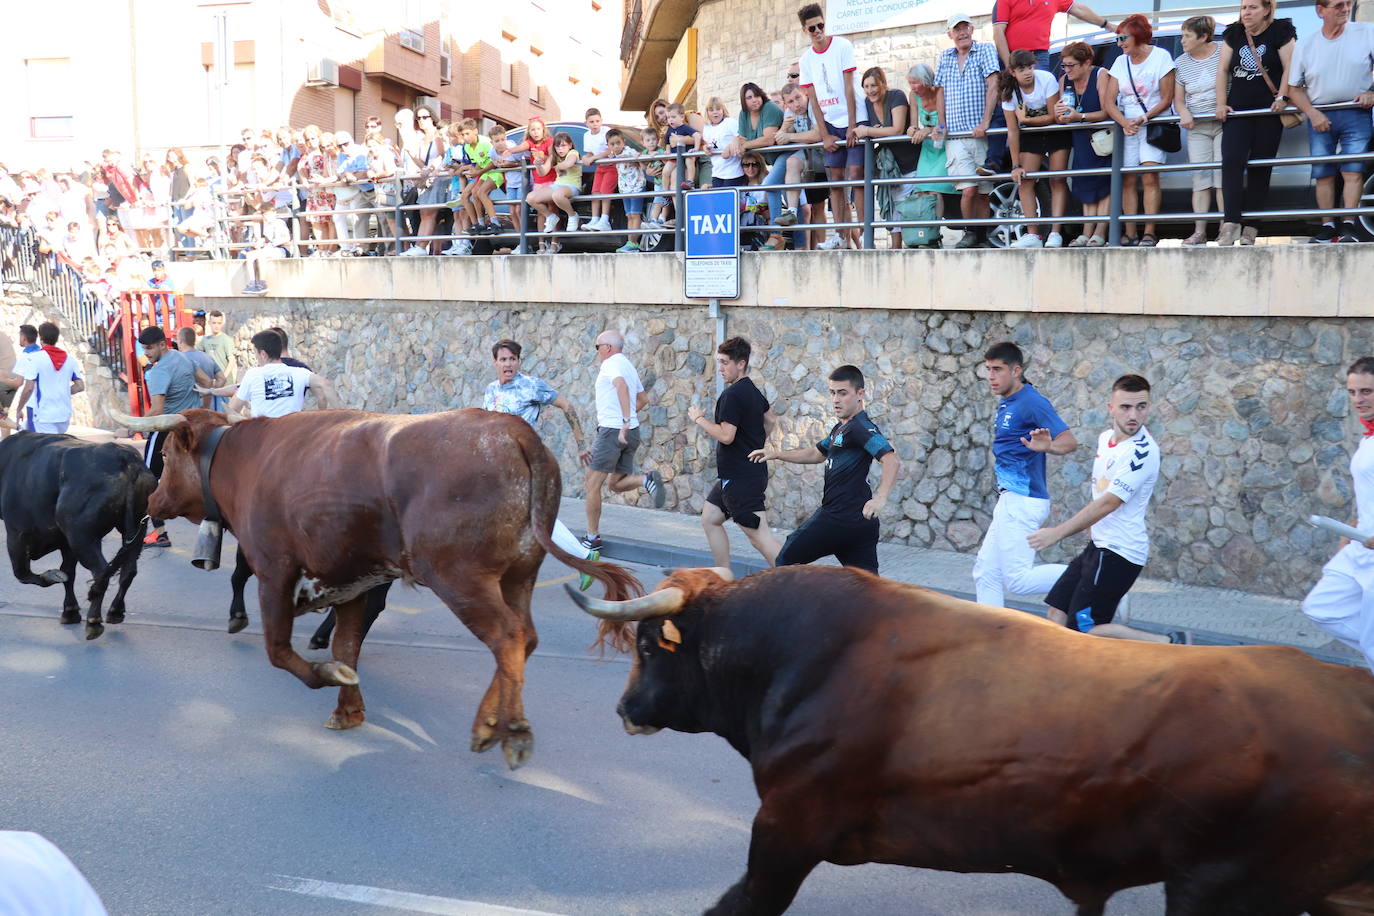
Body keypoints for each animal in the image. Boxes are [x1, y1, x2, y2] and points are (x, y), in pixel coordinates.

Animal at [0, 436, 154, 637]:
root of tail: (125, 458)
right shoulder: (66, 543)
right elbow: (68, 573)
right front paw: (70, 611)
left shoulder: (17, 535)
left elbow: (23, 573)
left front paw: (52, 577)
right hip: (135, 529)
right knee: (128, 571)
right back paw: (115, 612)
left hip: (82, 537)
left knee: (100, 572)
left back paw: (94, 621)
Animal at [120, 409, 634, 769]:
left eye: (165, 456)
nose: (152, 498)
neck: (245, 460)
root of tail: (513, 429)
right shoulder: (353, 582)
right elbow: (347, 644)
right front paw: (349, 709)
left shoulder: (275, 571)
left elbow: (280, 651)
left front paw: (329, 677)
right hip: (517, 576)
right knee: (524, 637)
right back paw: (487, 724)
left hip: (460, 577)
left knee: (507, 637)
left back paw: (512, 732)